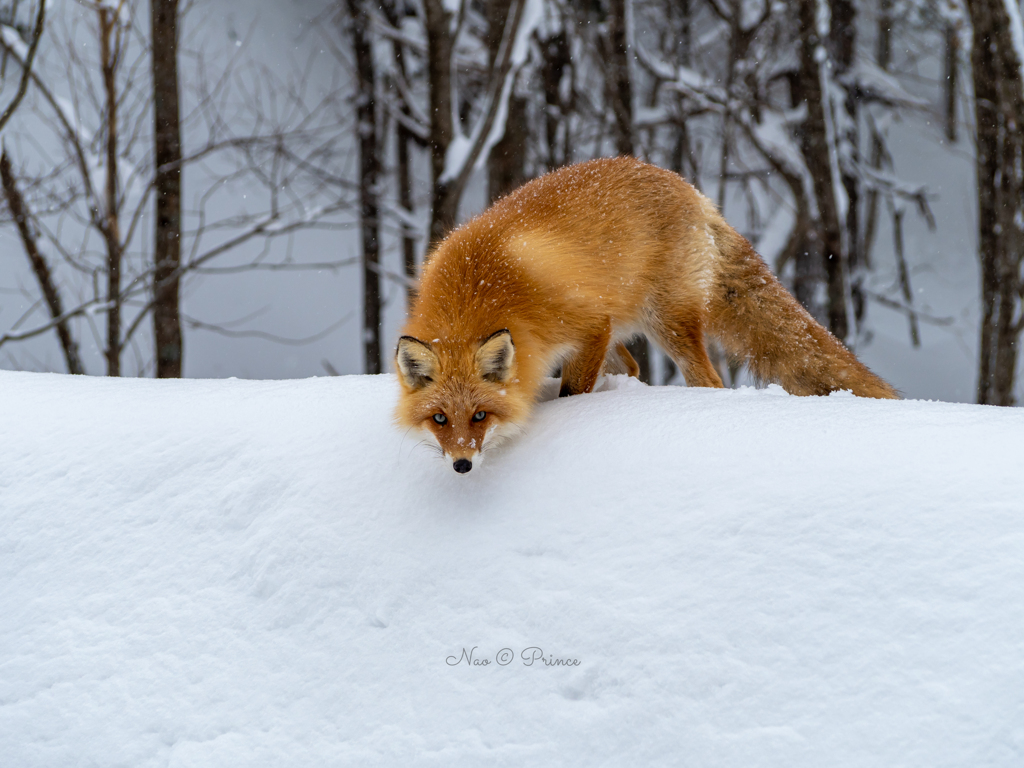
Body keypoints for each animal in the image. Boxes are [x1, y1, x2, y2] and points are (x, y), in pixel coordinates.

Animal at [391, 156, 897, 473]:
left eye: (480, 415)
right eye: (440, 420)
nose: (462, 465)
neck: (477, 290)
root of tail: (688, 187)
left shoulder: (588, 325)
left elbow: (573, 394)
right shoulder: (594, 333)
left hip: (666, 322)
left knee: (708, 380)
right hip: (627, 328)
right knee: (634, 368)